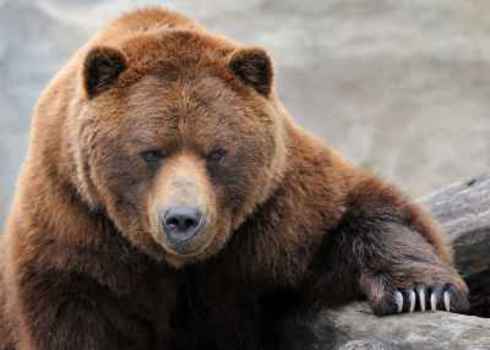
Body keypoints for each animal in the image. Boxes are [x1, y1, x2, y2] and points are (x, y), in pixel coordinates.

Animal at [0, 6, 468, 350]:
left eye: (217, 152)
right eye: (151, 152)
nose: (183, 219)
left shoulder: (275, 211)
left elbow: (359, 215)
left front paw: (420, 291)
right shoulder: (77, 229)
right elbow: (78, 315)